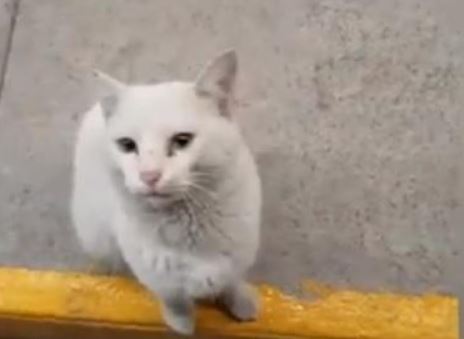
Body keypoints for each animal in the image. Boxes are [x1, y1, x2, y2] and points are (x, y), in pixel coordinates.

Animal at [71, 50, 262, 334]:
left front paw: (243, 304)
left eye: (182, 140)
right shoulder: (160, 279)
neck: (188, 226)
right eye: (127, 145)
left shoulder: (237, 257)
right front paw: (182, 325)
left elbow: (232, 280)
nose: (149, 175)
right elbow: (176, 301)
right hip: (97, 235)